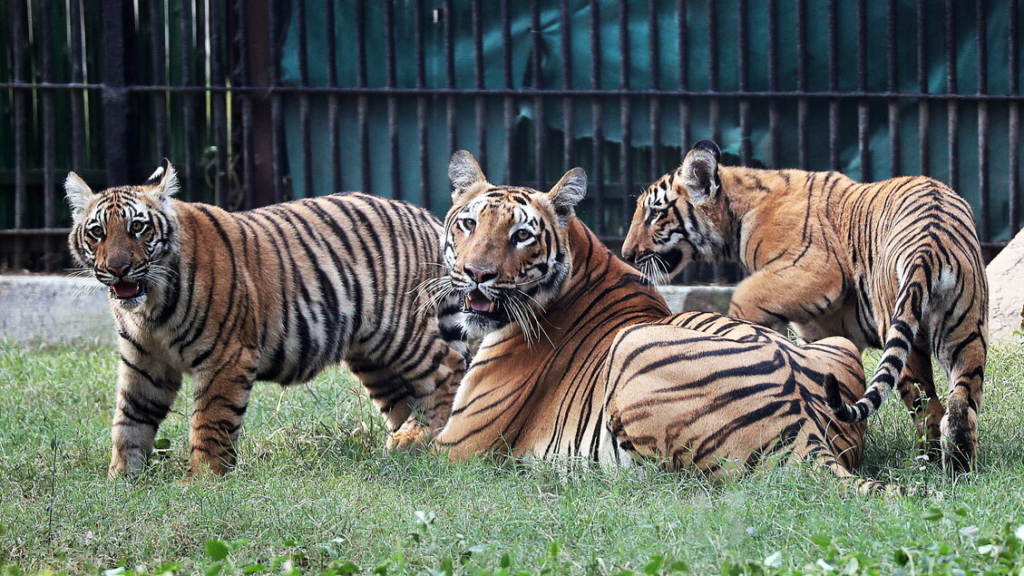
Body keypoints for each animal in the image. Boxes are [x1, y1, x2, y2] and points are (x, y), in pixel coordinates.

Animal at [65, 160, 468, 476]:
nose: (118, 269)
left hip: (399, 330)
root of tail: (426, 216)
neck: (150, 308)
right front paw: (121, 479)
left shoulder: (226, 356)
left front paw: (202, 480)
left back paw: (418, 436)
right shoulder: (144, 362)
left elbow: (209, 420)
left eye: (138, 227)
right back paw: (406, 444)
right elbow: (129, 421)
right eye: (97, 232)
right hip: (372, 356)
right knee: (407, 396)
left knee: (448, 368)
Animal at [428, 150, 890, 495]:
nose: (477, 273)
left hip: (632, 344)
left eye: (522, 236)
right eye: (469, 223)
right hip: (838, 345)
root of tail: (805, 426)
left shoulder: (457, 446)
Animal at [622, 139, 988, 473]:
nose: (627, 254)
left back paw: (928, 465)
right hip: (966, 332)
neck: (736, 212)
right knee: (960, 404)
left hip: (905, 333)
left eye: (655, 213)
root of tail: (930, 240)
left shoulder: (818, 270)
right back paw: (959, 468)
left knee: (929, 409)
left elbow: (745, 298)